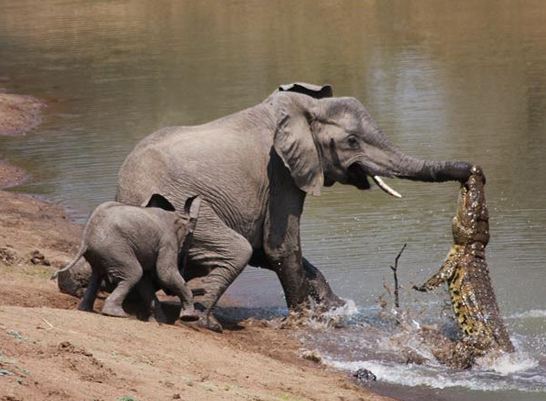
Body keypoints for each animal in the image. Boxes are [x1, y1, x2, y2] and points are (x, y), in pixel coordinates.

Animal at [50, 194, 200, 322]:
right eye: (189, 236)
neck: (176, 215)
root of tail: (86, 237)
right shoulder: (167, 242)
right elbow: (165, 274)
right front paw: (190, 317)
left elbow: (145, 282)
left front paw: (159, 321)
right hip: (114, 248)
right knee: (134, 273)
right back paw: (116, 314)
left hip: (102, 252)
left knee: (97, 275)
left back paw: (85, 310)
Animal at [113, 83, 468, 330]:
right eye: (352, 141)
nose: (471, 170)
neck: (304, 109)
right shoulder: (280, 173)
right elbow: (280, 247)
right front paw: (304, 322)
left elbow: (267, 251)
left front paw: (335, 309)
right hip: (177, 210)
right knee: (237, 250)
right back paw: (205, 322)